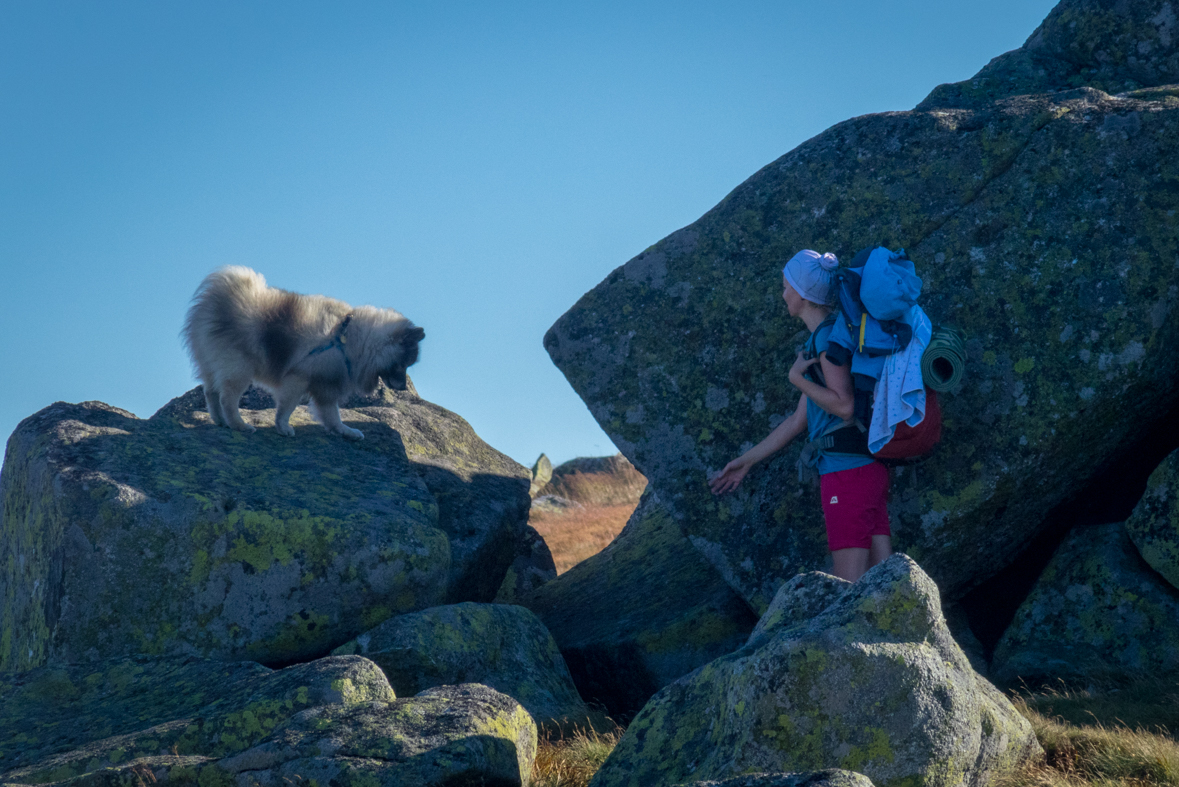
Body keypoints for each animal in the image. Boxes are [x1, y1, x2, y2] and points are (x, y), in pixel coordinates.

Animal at [179, 267, 424, 440]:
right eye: (403, 365)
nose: (404, 387)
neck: (352, 340)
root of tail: (218, 300)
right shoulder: (298, 378)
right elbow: (287, 407)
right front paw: (283, 427)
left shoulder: (326, 386)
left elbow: (332, 415)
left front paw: (345, 431)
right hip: (239, 369)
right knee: (227, 399)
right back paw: (239, 425)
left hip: (214, 365)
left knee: (211, 393)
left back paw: (220, 421)